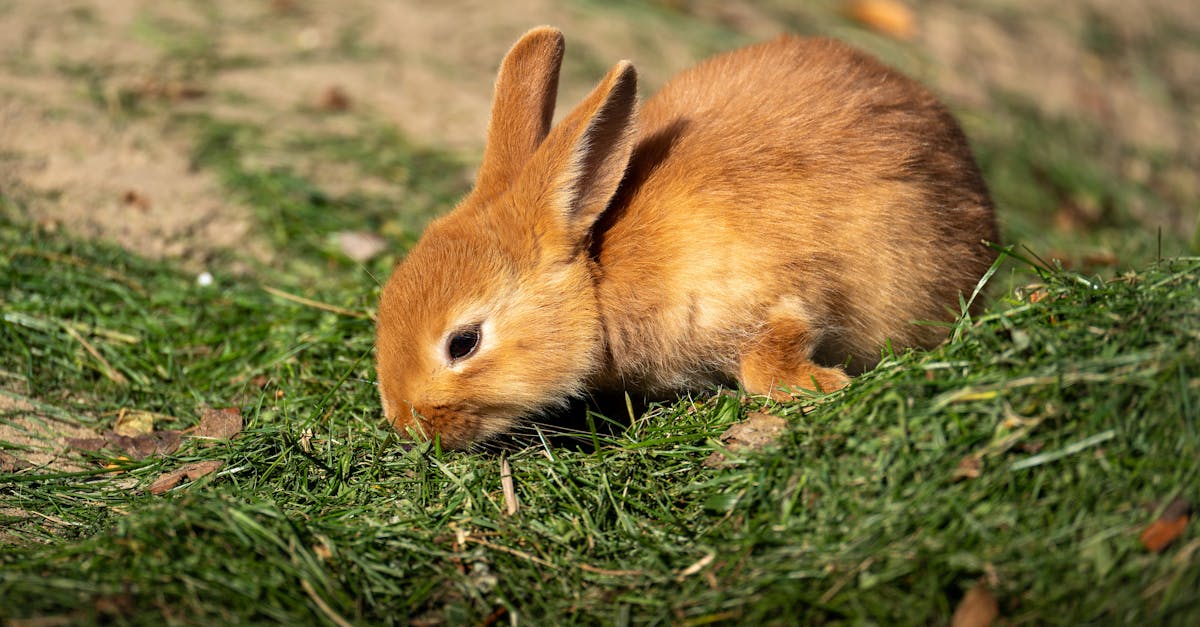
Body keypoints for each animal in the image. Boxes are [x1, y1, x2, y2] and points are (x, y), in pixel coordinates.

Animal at [374, 26, 998, 449]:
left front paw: (824, 385)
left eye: (463, 343)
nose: (408, 425)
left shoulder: (776, 294)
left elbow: (769, 358)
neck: (599, 281)